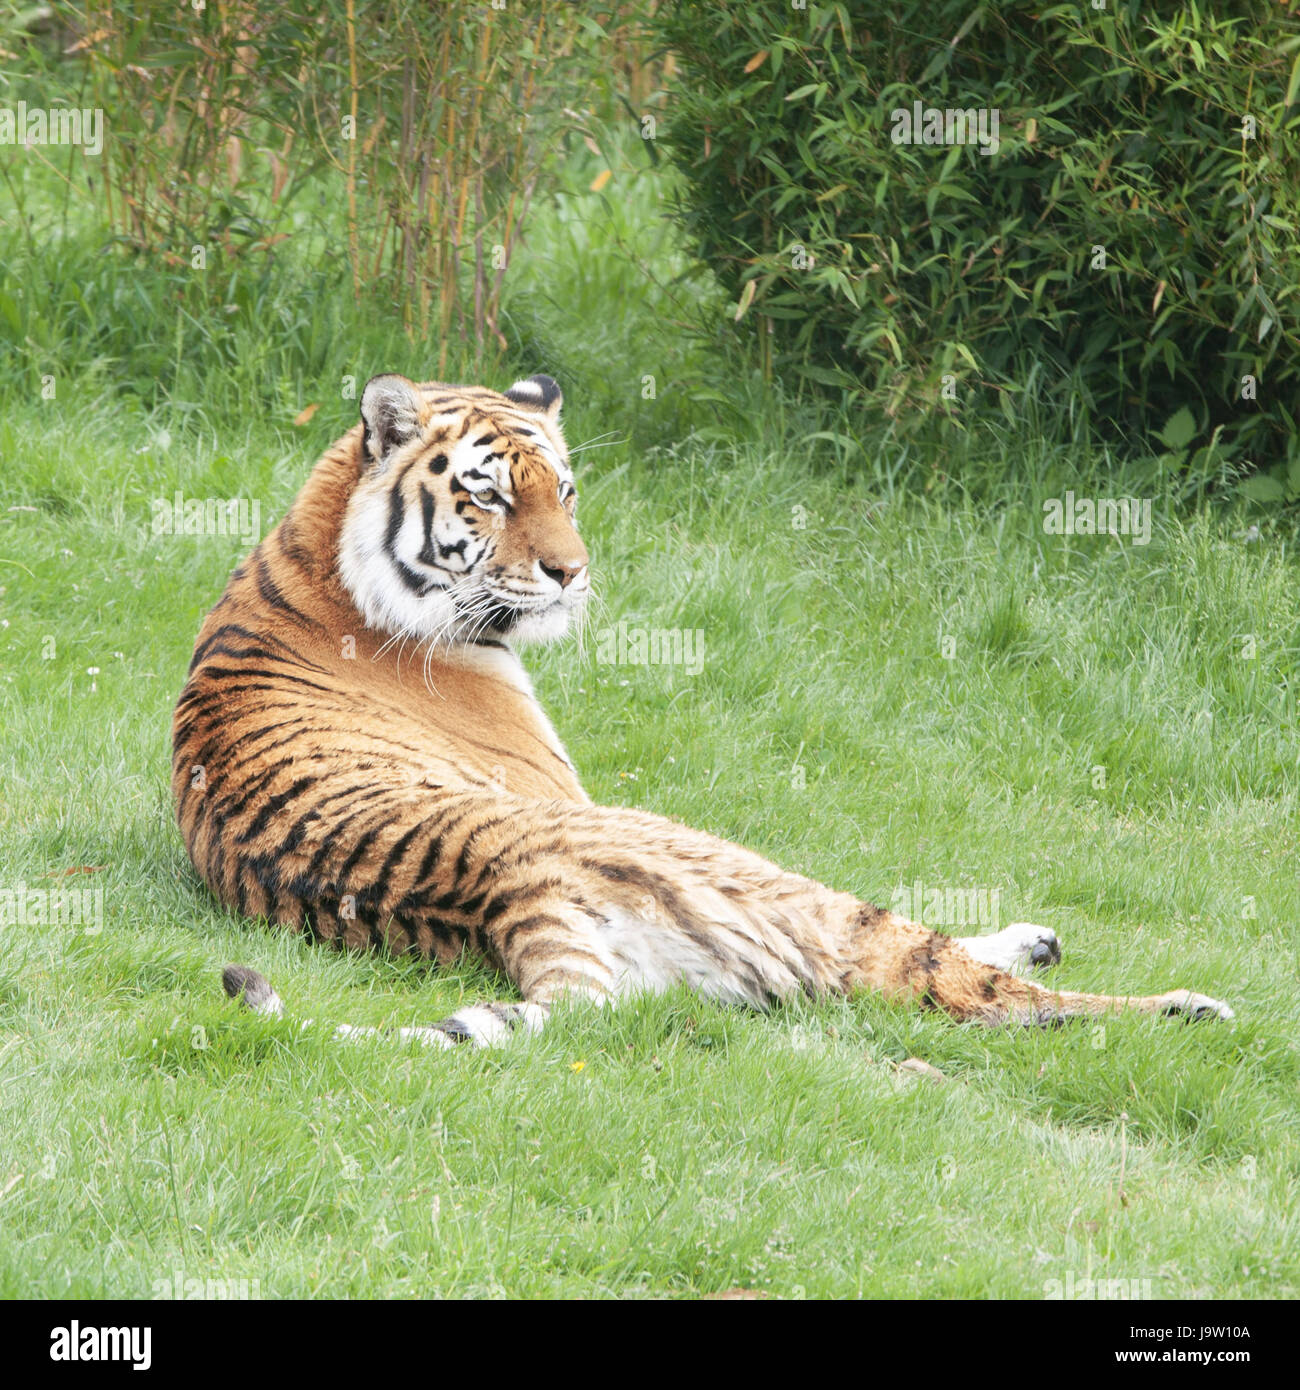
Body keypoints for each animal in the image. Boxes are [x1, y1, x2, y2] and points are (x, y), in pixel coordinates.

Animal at [172, 370, 1234, 1045]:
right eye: (490, 498)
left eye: (563, 490)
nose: (573, 573)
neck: (324, 553)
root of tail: (510, 895)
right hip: (742, 870)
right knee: (945, 981)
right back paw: (1187, 1009)